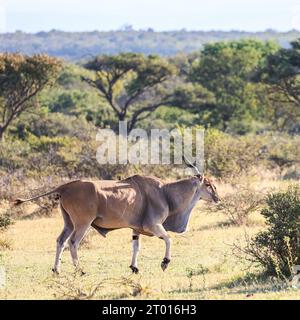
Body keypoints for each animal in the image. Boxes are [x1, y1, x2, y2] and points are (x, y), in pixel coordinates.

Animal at [13, 159, 220, 274]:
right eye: (208, 184)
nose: (218, 198)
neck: (165, 191)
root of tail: (65, 187)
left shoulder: (136, 229)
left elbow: (136, 246)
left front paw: (134, 268)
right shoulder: (153, 225)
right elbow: (168, 239)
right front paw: (164, 263)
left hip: (68, 222)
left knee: (60, 241)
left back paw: (56, 270)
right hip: (82, 223)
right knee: (73, 242)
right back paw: (80, 270)